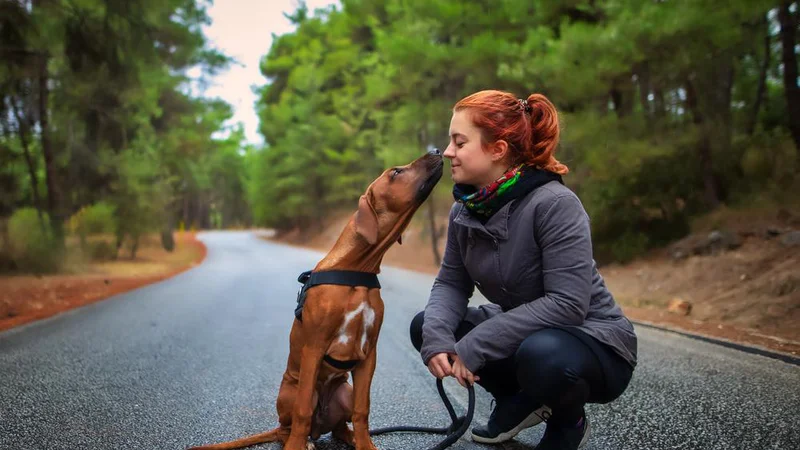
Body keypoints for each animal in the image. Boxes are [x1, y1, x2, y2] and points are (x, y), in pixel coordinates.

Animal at [191, 151, 446, 450]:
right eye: (395, 172)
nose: (437, 151)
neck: (357, 269)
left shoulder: (369, 354)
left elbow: (363, 410)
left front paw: (365, 444)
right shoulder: (313, 348)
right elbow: (302, 411)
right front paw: (295, 447)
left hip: (345, 390)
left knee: (339, 427)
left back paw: (347, 437)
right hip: (293, 392)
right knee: (287, 426)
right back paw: (301, 441)